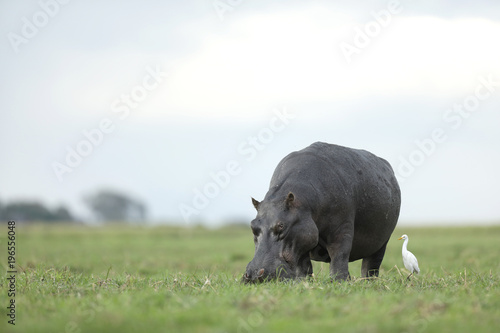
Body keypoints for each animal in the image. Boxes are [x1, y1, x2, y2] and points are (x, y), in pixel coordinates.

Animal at [242, 141, 402, 282]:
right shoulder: (302, 236)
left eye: (281, 225)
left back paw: (367, 282)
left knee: (371, 265)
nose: (254, 274)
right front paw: (303, 282)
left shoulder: (341, 229)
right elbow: (303, 265)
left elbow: (340, 255)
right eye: (252, 225)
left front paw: (339, 282)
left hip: (382, 242)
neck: (303, 202)